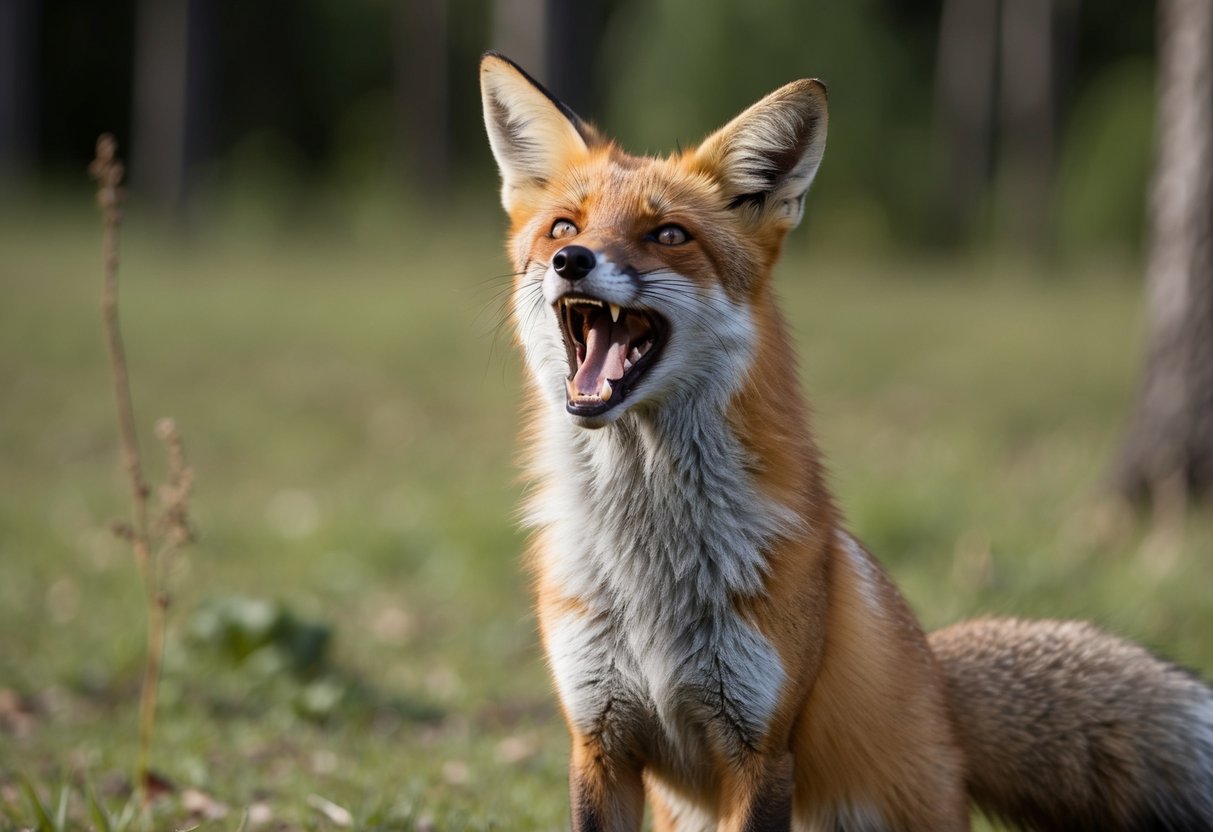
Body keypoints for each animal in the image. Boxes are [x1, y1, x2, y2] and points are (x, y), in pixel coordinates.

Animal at [478, 51, 1213, 831]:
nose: (573, 261)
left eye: (669, 235)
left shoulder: (761, 747)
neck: (651, 570)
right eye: (562, 226)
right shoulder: (599, 741)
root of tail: (936, 688)